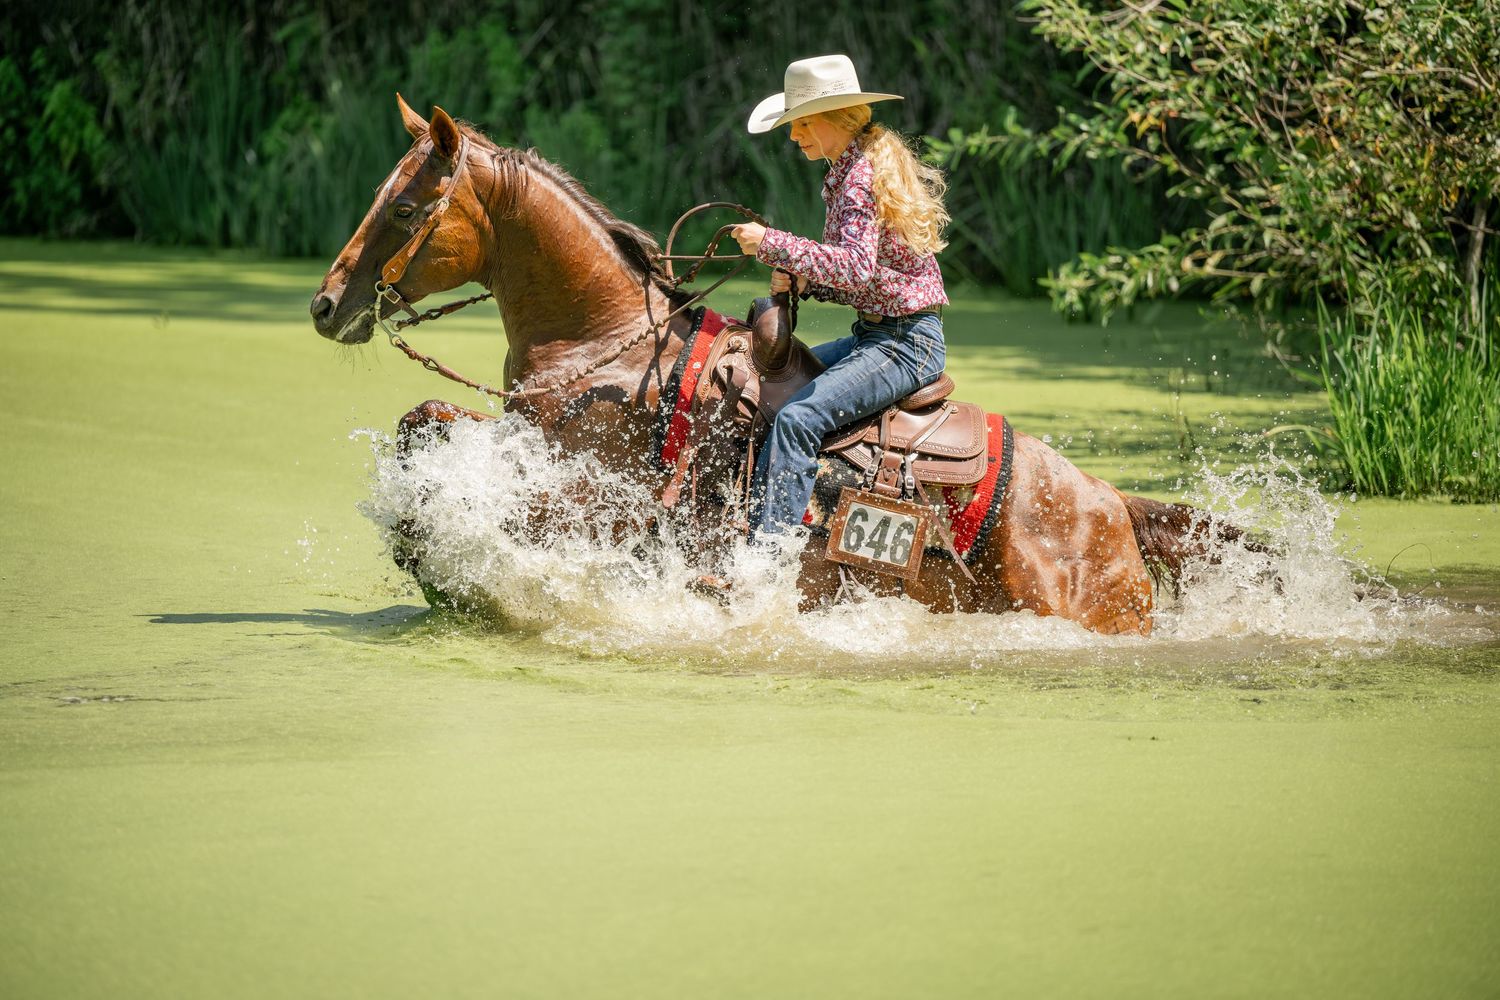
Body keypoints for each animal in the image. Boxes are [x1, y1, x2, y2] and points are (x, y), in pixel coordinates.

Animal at [310, 96, 1230, 636]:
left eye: (405, 208)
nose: (325, 304)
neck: (614, 350)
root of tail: (1110, 505)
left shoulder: (592, 500)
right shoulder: (518, 438)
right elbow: (423, 421)